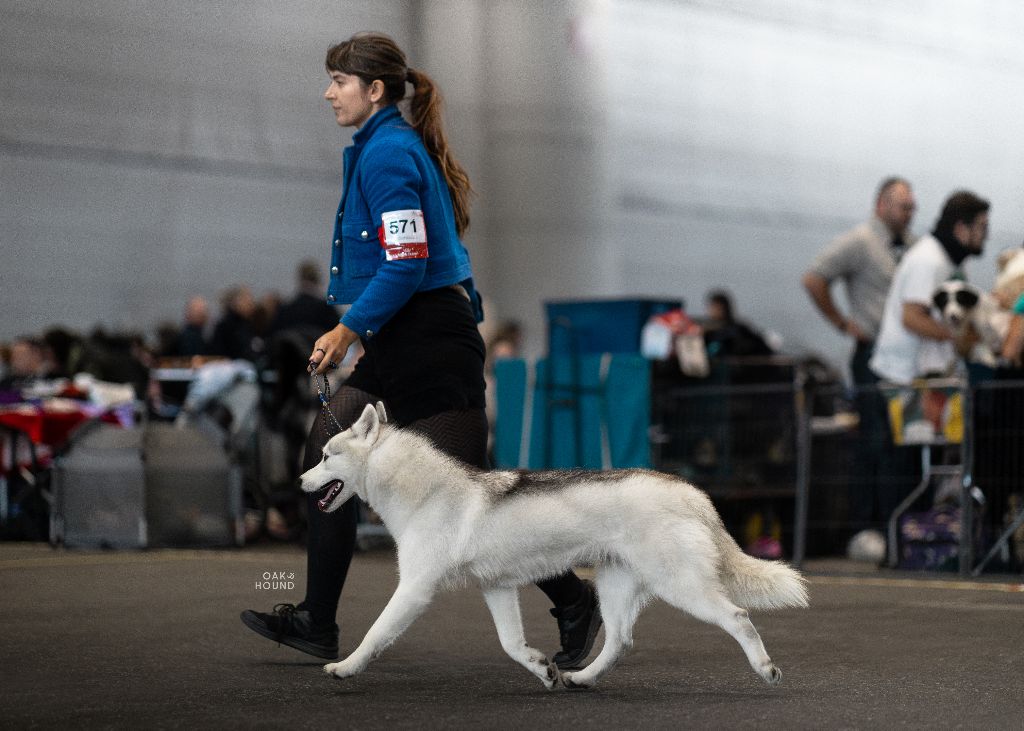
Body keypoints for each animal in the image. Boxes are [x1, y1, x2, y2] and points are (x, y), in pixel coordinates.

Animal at [303, 401, 806, 688]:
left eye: (326, 456)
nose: (300, 480)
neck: (425, 492)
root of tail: (691, 492)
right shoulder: (497, 589)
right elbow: (511, 643)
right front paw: (541, 669)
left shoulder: (414, 589)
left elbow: (375, 633)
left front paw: (345, 668)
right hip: (616, 588)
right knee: (619, 640)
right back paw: (582, 678)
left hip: (682, 586)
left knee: (738, 617)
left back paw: (765, 669)